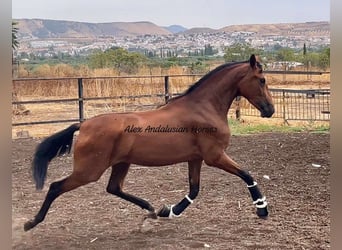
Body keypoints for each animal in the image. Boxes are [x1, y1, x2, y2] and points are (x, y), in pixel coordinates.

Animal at [24, 53, 276, 231]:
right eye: (262, 80)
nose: (270, 110)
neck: (205, 107)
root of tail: (83, 125)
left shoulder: (196, 158)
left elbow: (194, 189)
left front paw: (169, 211)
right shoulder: (214, 156)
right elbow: (247, 175)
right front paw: (262, 209)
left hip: (121, 163)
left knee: (113, 187)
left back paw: (151, 209)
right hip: (89, 171)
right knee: (56, 187)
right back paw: (31, 223)